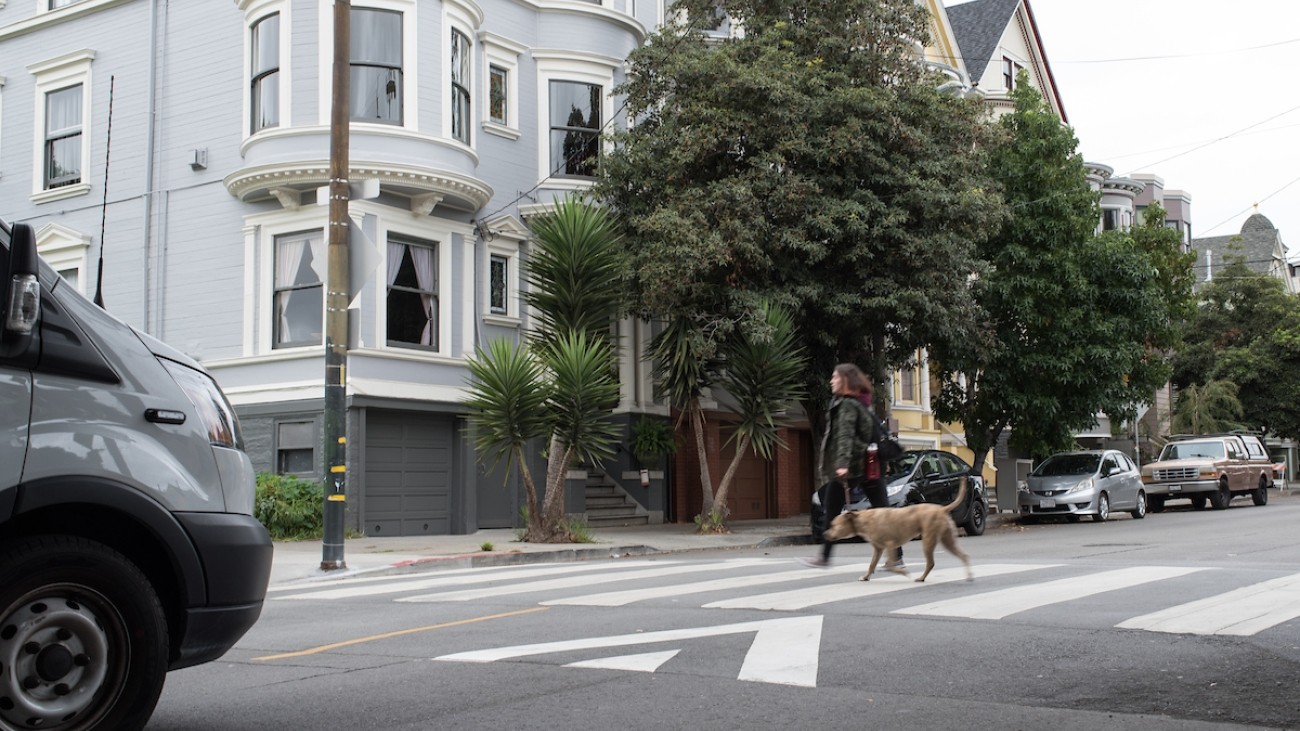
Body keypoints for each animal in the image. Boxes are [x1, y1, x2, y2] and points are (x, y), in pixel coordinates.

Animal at [826, 476, 972, 582]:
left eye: (833, 525)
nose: (824, 534)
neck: (862, 519)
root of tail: (942, 509)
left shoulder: (890, 545)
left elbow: (891, 566)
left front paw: (903, 572)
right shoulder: (878, 549)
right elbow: (872, 564)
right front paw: (866, 577)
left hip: (928, 541)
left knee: (931, 562)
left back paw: (921, 578)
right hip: (948, 540)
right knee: (963, 555)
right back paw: (969, 575)